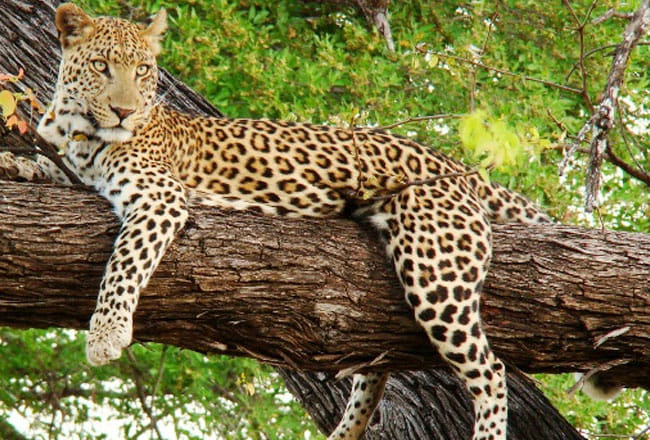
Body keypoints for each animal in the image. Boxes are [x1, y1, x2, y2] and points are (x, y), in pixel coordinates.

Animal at [4, 3, 559, 439]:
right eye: (101, 66)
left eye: (142, 70)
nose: (123, 111)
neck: (77, 129)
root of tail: (451, 162)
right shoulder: (72, 167)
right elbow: (46, 168)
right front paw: (18, 165)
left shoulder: (160, 198)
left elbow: (124, 263)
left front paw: (106, 332)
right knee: (379, 365)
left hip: (436, 269)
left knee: (490, 369)